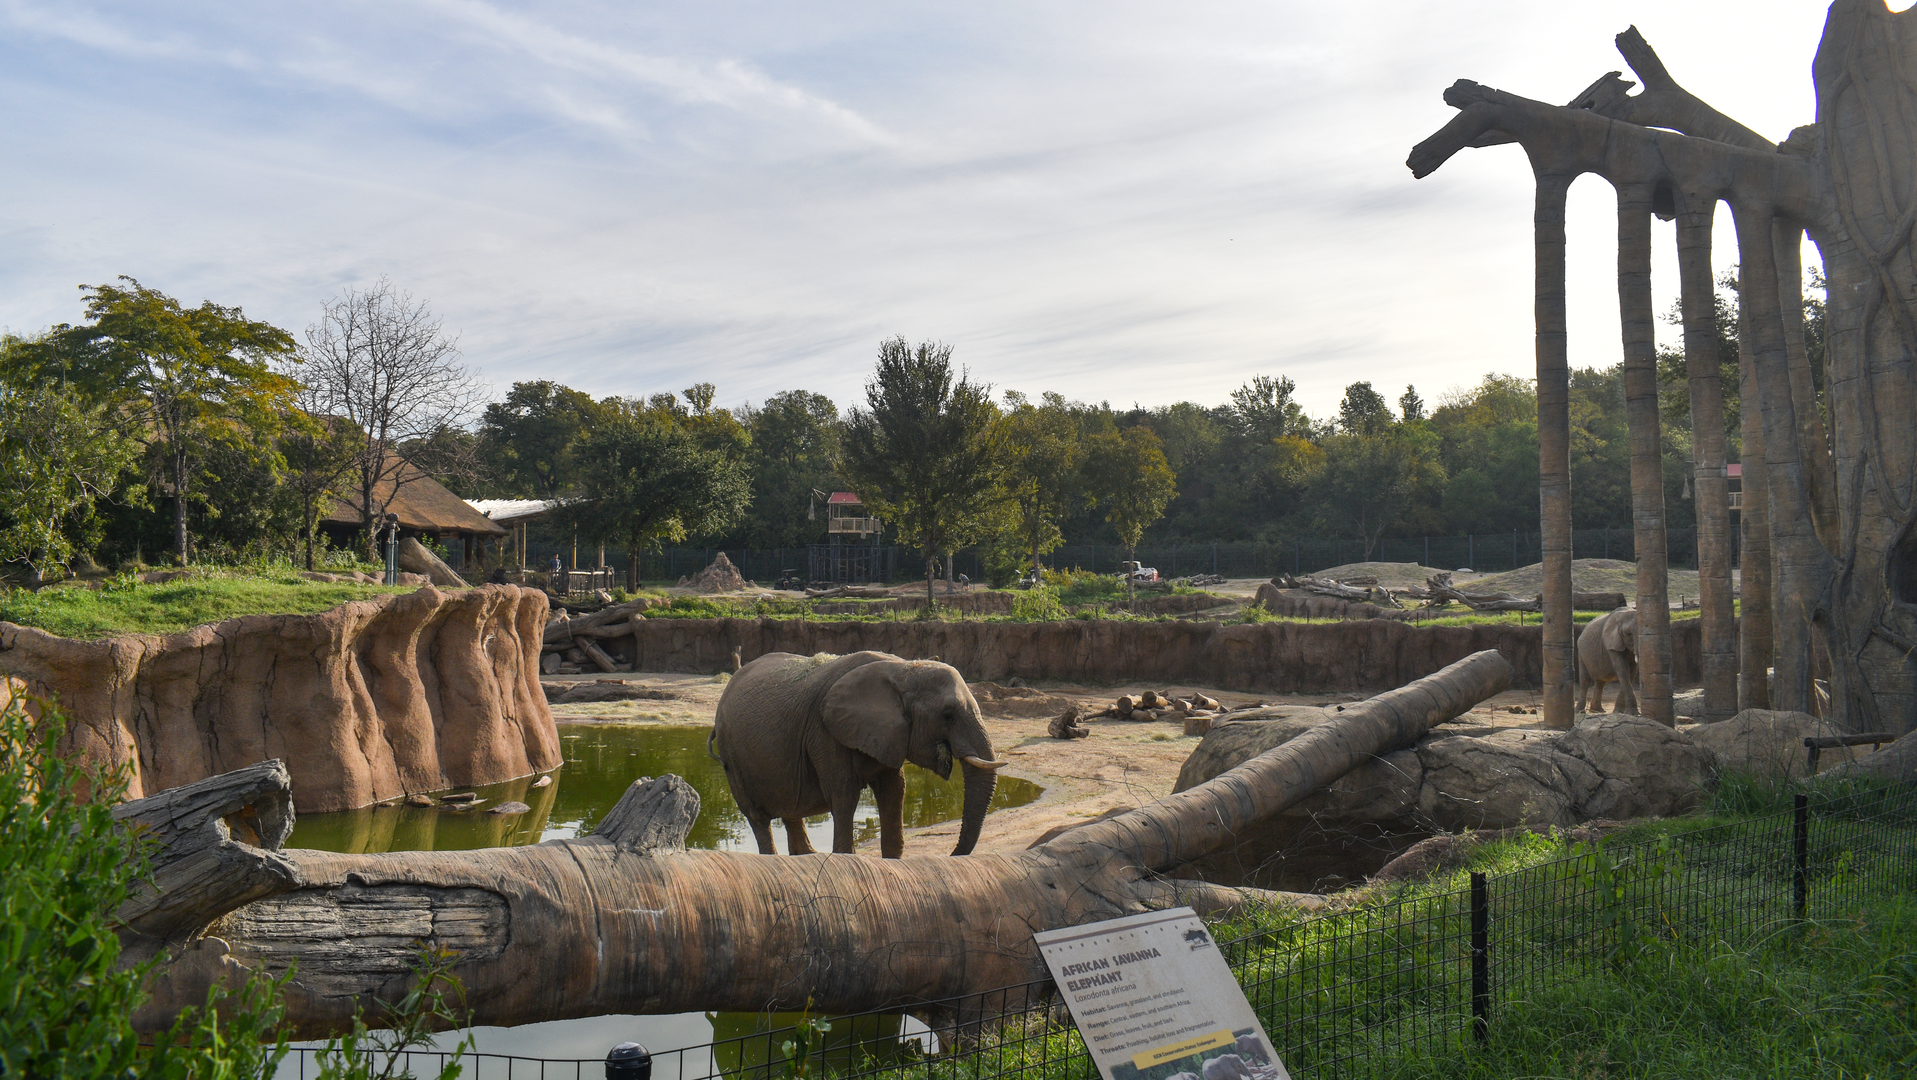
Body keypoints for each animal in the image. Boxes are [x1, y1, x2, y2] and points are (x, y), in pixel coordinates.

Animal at [709, 651, 1008, 858]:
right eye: (947, 715)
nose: (951, 854)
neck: (902, 668)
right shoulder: (825, 733)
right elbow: (844, 794)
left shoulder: (888, 736)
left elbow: (894, 791)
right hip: (732, 756)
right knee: (758, 817)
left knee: (791, 809)